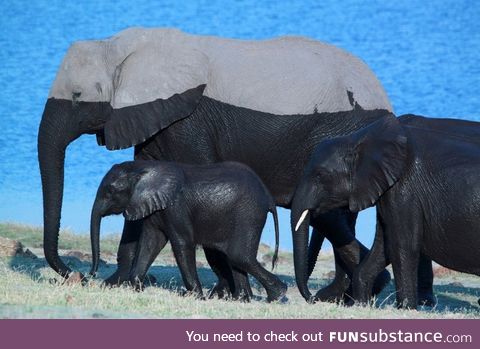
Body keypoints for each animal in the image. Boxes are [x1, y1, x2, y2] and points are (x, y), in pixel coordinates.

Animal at [89, 159, 288, 300]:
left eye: (110, 192)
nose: (90, 275)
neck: (144, 168)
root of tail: (268, 195)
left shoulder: (176, 207)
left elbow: (181, 243)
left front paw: (196, 296)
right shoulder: (156, 206)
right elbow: (151, 242)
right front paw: (137, 287)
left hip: (248, 214)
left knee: (239, 255)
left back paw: (278, 295)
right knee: (236, 258)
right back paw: (241, 299)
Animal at [290, 113, 480, 308]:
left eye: (319, 175)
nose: (313, 298)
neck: (358, 139)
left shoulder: (404, 191)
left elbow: (402, 245)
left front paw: (406, 308)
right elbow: (384, 246)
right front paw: (362, 305)